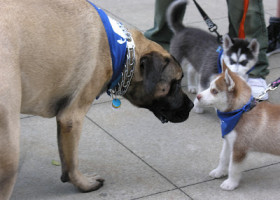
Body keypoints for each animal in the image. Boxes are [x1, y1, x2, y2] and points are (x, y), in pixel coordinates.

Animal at [196, 63, 280, 191]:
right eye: (209, 86)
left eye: (214, 91)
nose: (198, 96)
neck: (240, 111)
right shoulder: (228, 141)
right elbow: (223, 158)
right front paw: (219, 172)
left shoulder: (239, 148)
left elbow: (233, 167)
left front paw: (230, 183)